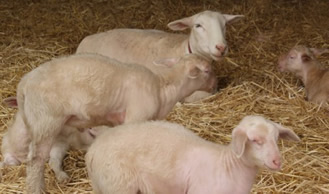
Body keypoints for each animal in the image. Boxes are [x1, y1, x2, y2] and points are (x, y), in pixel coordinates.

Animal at [14, 52, 215, 193]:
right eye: (207, 71)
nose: (215, 85)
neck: (162, 89)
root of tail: (23, 84)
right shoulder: (135, 116)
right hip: (45, 120)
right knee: (36, 161)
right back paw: (37, 189)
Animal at [85, 115, 300, 194]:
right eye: (255, 140)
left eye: (276, 138)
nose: (277, 161)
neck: (229, 166)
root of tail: (92, 150)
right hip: (118, 185)